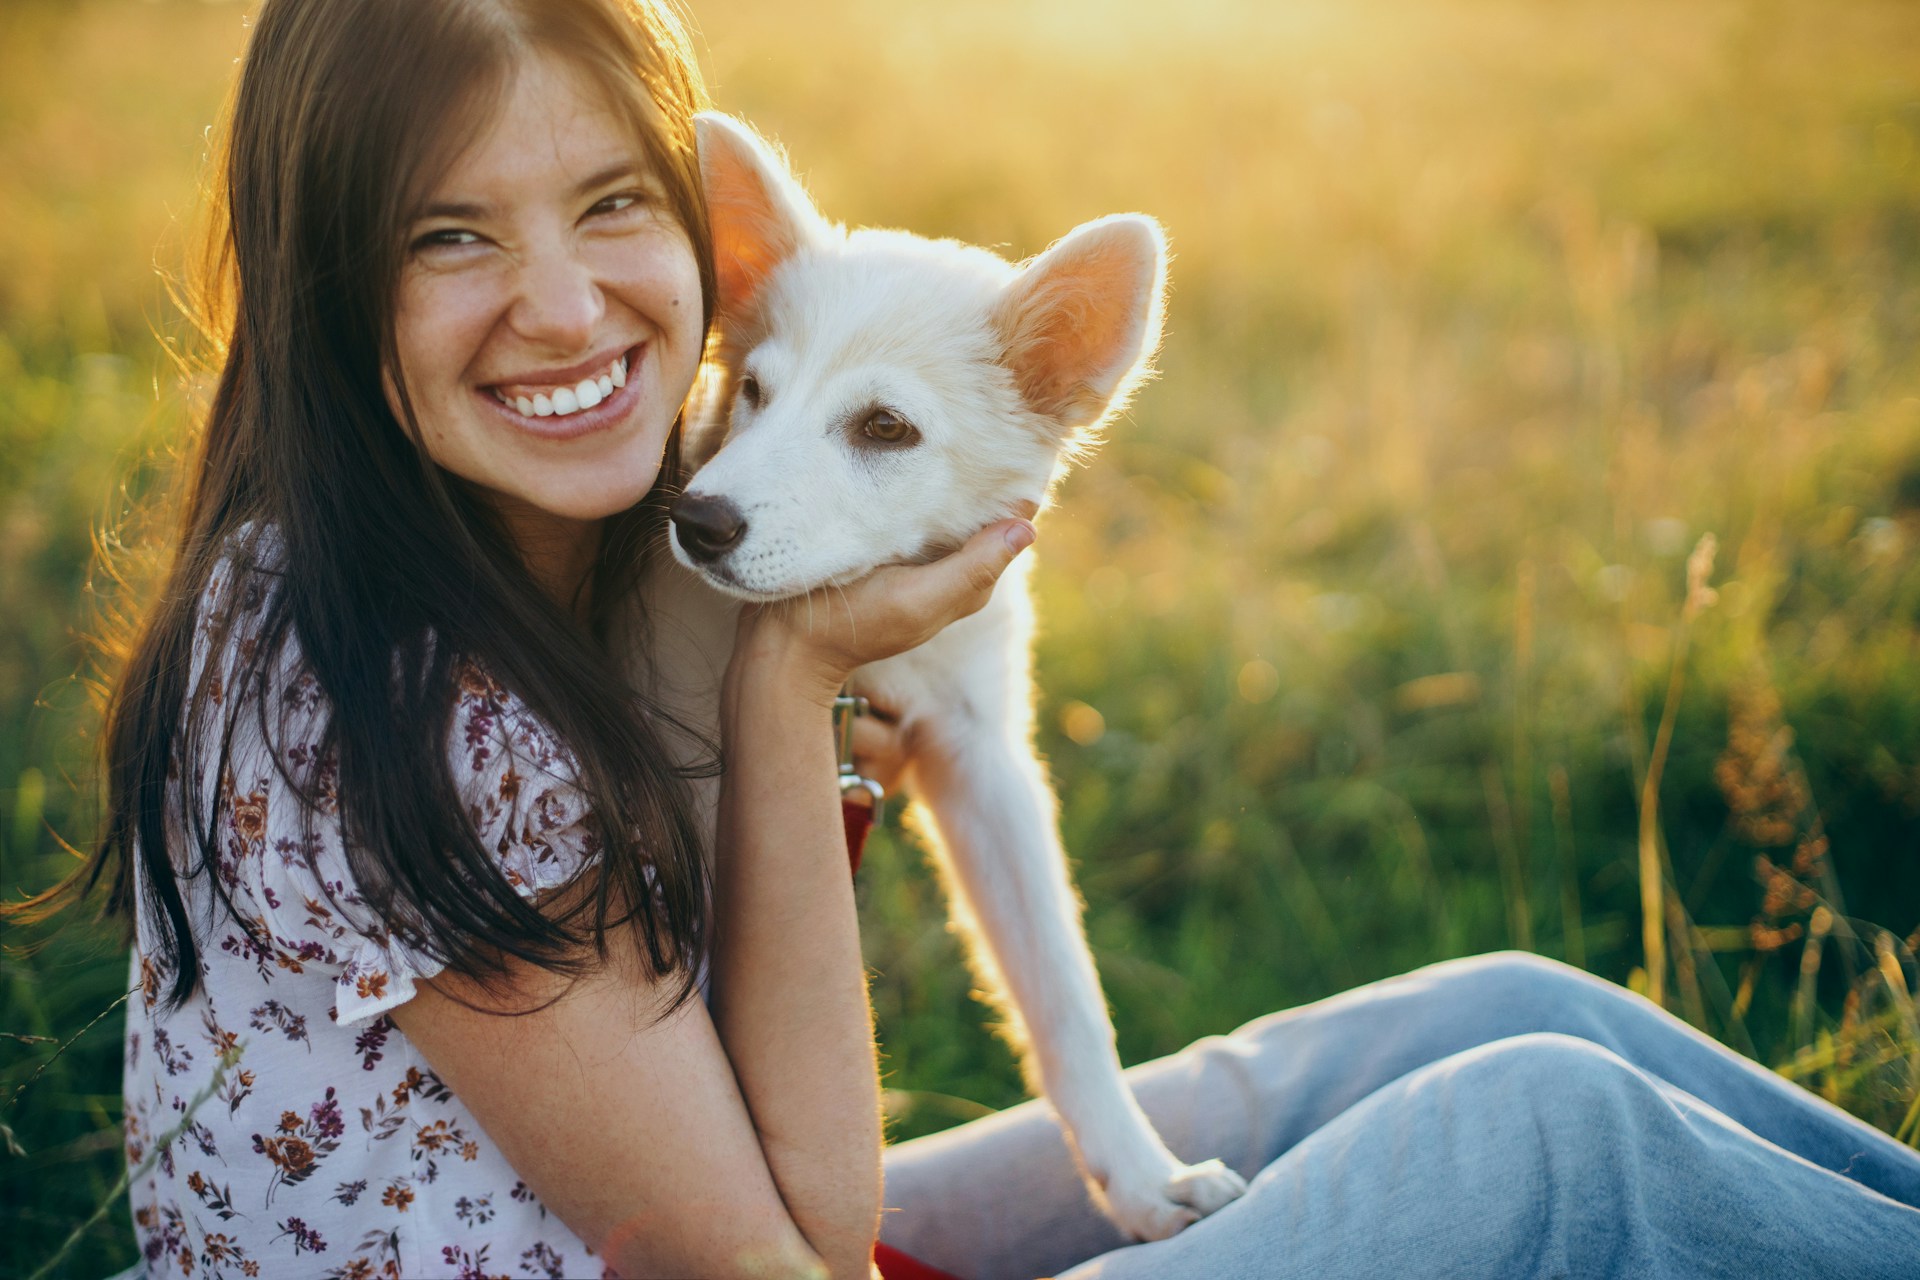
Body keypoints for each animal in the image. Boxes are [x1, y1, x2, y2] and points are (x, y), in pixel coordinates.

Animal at [637, 112, 1251, 1243]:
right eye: (753, 393)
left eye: (885, 428)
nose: (696, 524)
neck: (867, 668)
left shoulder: (985, 760)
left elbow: (1064, 993)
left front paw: (1146, 1177)